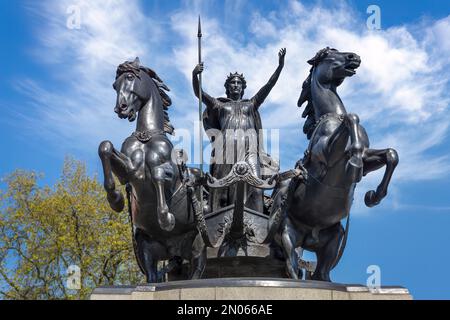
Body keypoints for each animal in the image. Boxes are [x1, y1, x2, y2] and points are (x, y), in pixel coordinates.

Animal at [97, 57, 207, 282]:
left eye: (130, 77)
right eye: (114, 85)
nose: (121, 108)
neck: (146, 136)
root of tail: (173, 250)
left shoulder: (170, 173)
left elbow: (157, 174)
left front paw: (166, 218)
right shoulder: (130, 172)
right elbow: (105, 147)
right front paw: (115, 199)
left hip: (197, 246)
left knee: (197, 272)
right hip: (146, 248)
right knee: (152, 275)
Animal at [268, 47, 400, 280]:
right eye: (328, 55)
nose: (354, 57)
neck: (332, 116)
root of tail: (308, 236)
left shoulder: (368, 159)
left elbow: (391, 155)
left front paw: (373, 196)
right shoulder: (326, 155)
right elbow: (352, 117)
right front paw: (354, 162)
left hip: (334, 238)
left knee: (321, 274)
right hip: (288, 235)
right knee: (292, 267)